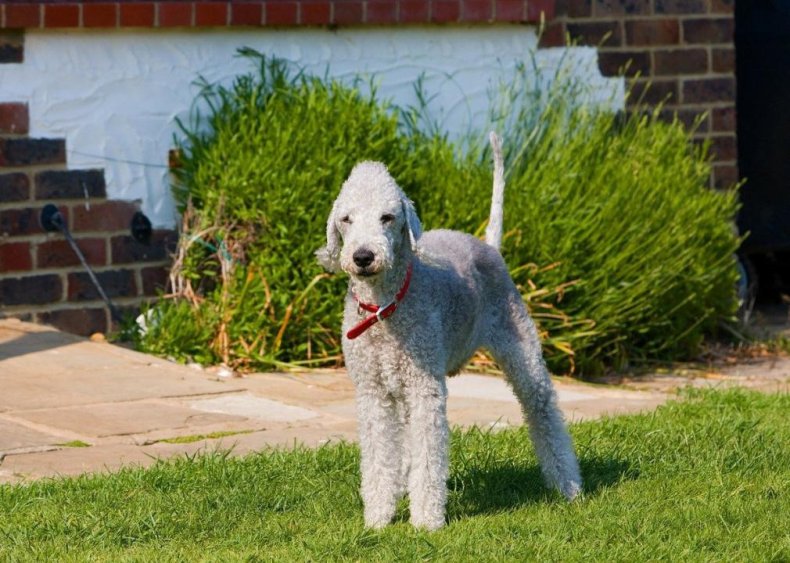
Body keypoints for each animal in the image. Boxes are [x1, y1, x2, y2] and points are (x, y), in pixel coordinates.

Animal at [318, 134, 584, 532]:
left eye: (387, 217)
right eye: (346, 219)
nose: (363, 256)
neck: (385, 307)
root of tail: (487, 244)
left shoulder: (425, 387)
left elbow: (430, 456)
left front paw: (426, 521)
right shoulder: (373, 391)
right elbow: (379, 456)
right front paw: (378, 517)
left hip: (520, 347)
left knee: (543, 410)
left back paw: (568, 485)